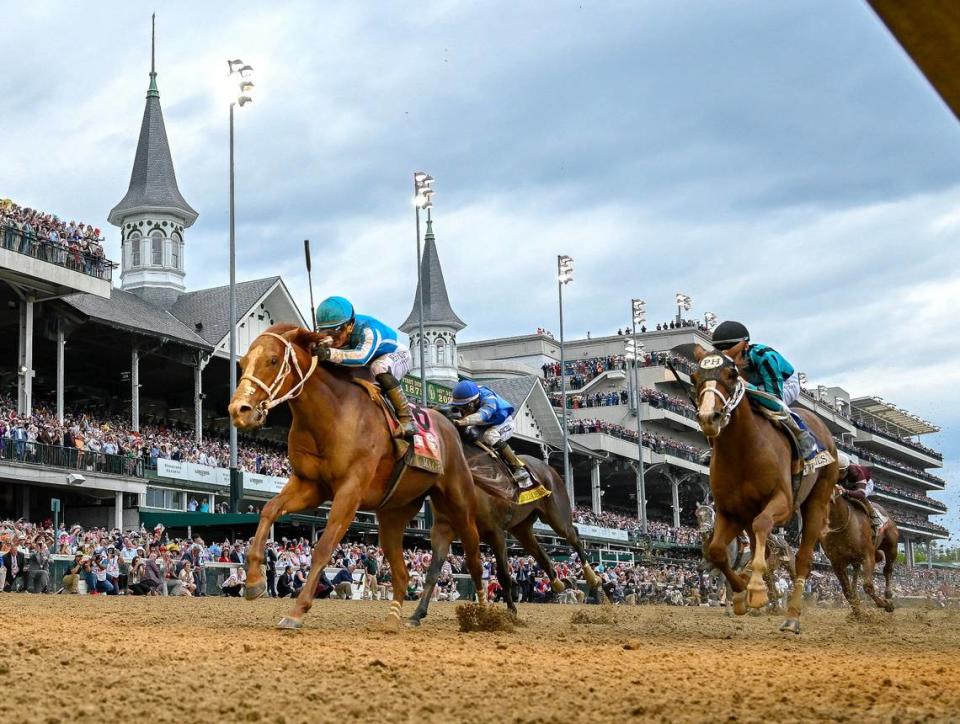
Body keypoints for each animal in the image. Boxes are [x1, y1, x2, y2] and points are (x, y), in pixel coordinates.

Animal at [229, 326, 488, 632]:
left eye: (272, 360)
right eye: (243, 363)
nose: (238, 410)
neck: (331, 415)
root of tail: (451, 425)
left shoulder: (350, 490)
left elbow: (323, 547)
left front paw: (296, 611)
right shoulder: (310, 485)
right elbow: (269, 510)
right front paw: (254, 581)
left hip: (459, 503)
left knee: (474, 557)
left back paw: (488, 613)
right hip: (393, 515)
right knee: (402, 573)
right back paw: (395, 619)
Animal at [408, 444, 604, 624]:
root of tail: (549, 469)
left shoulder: (495, 532)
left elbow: (503, 575)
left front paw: (510, 611)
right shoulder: (444, 529)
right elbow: (434, 571)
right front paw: (418, 613)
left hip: (557, 516)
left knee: (574, 536)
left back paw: (592, 578)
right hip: (521, 528)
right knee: (540, 553)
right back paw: (561, 582)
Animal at [688, 342, 840, 632]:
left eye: (731, 375)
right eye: (694, 377)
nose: (709, 417)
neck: (742, 450)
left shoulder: (781, 502)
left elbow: (762, 527)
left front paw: (756, 590)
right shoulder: (731, 512)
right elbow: (717, 552)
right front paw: (740, 595)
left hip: (817, 498)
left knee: (802, 559)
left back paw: (791, 616)